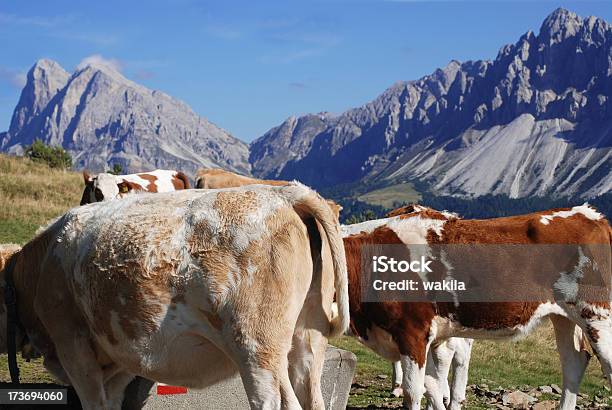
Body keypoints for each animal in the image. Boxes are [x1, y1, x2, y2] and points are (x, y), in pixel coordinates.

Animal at [342, 205, 608, 410]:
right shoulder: (429, 337)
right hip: (563, 317)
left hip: (597, 315)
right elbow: (433, 386)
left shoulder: (413, 333)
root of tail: (592, 216)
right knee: (573, 362)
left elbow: (414, 392)